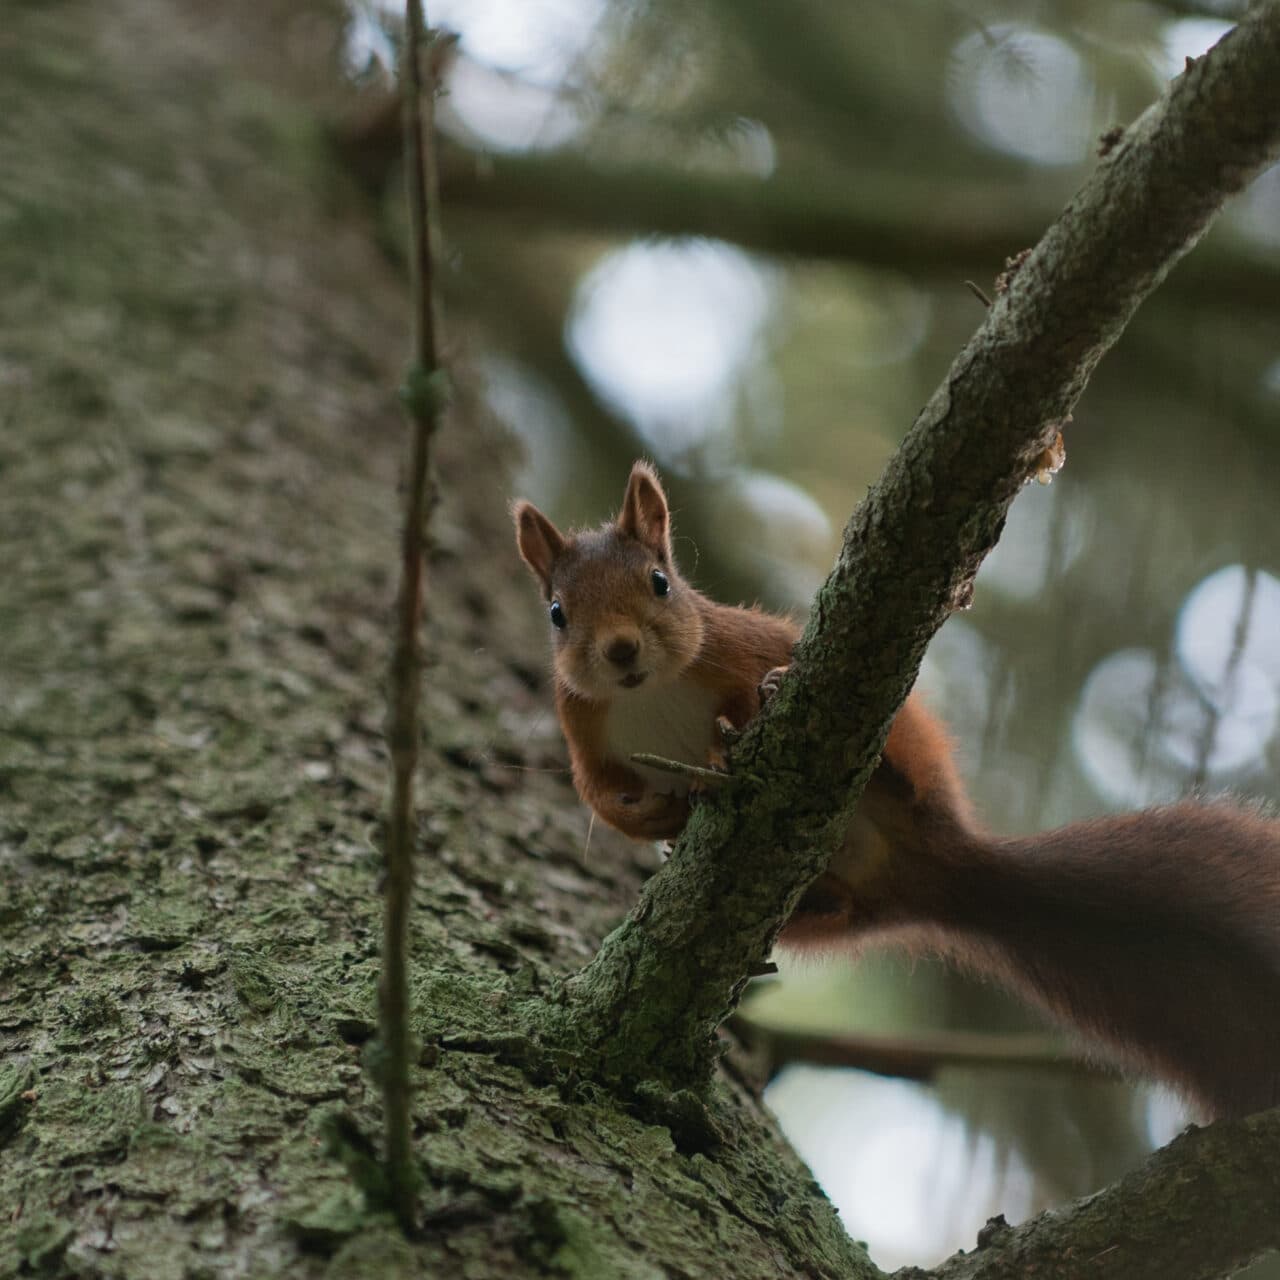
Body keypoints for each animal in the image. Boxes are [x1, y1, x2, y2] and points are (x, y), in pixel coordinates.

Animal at [514, 463, 1280, 1121]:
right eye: (556, 613)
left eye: (659, 581)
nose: (619, 651)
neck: (648, 694)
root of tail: (933, 865)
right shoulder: (585, 736)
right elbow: (601, 797)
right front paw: (652, 816)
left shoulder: (739, 645)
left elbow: (740, 693)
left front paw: (724, 741)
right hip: (829, 909)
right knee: (830, 906)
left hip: (908, 743)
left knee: (895, 771)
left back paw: (874, 766)